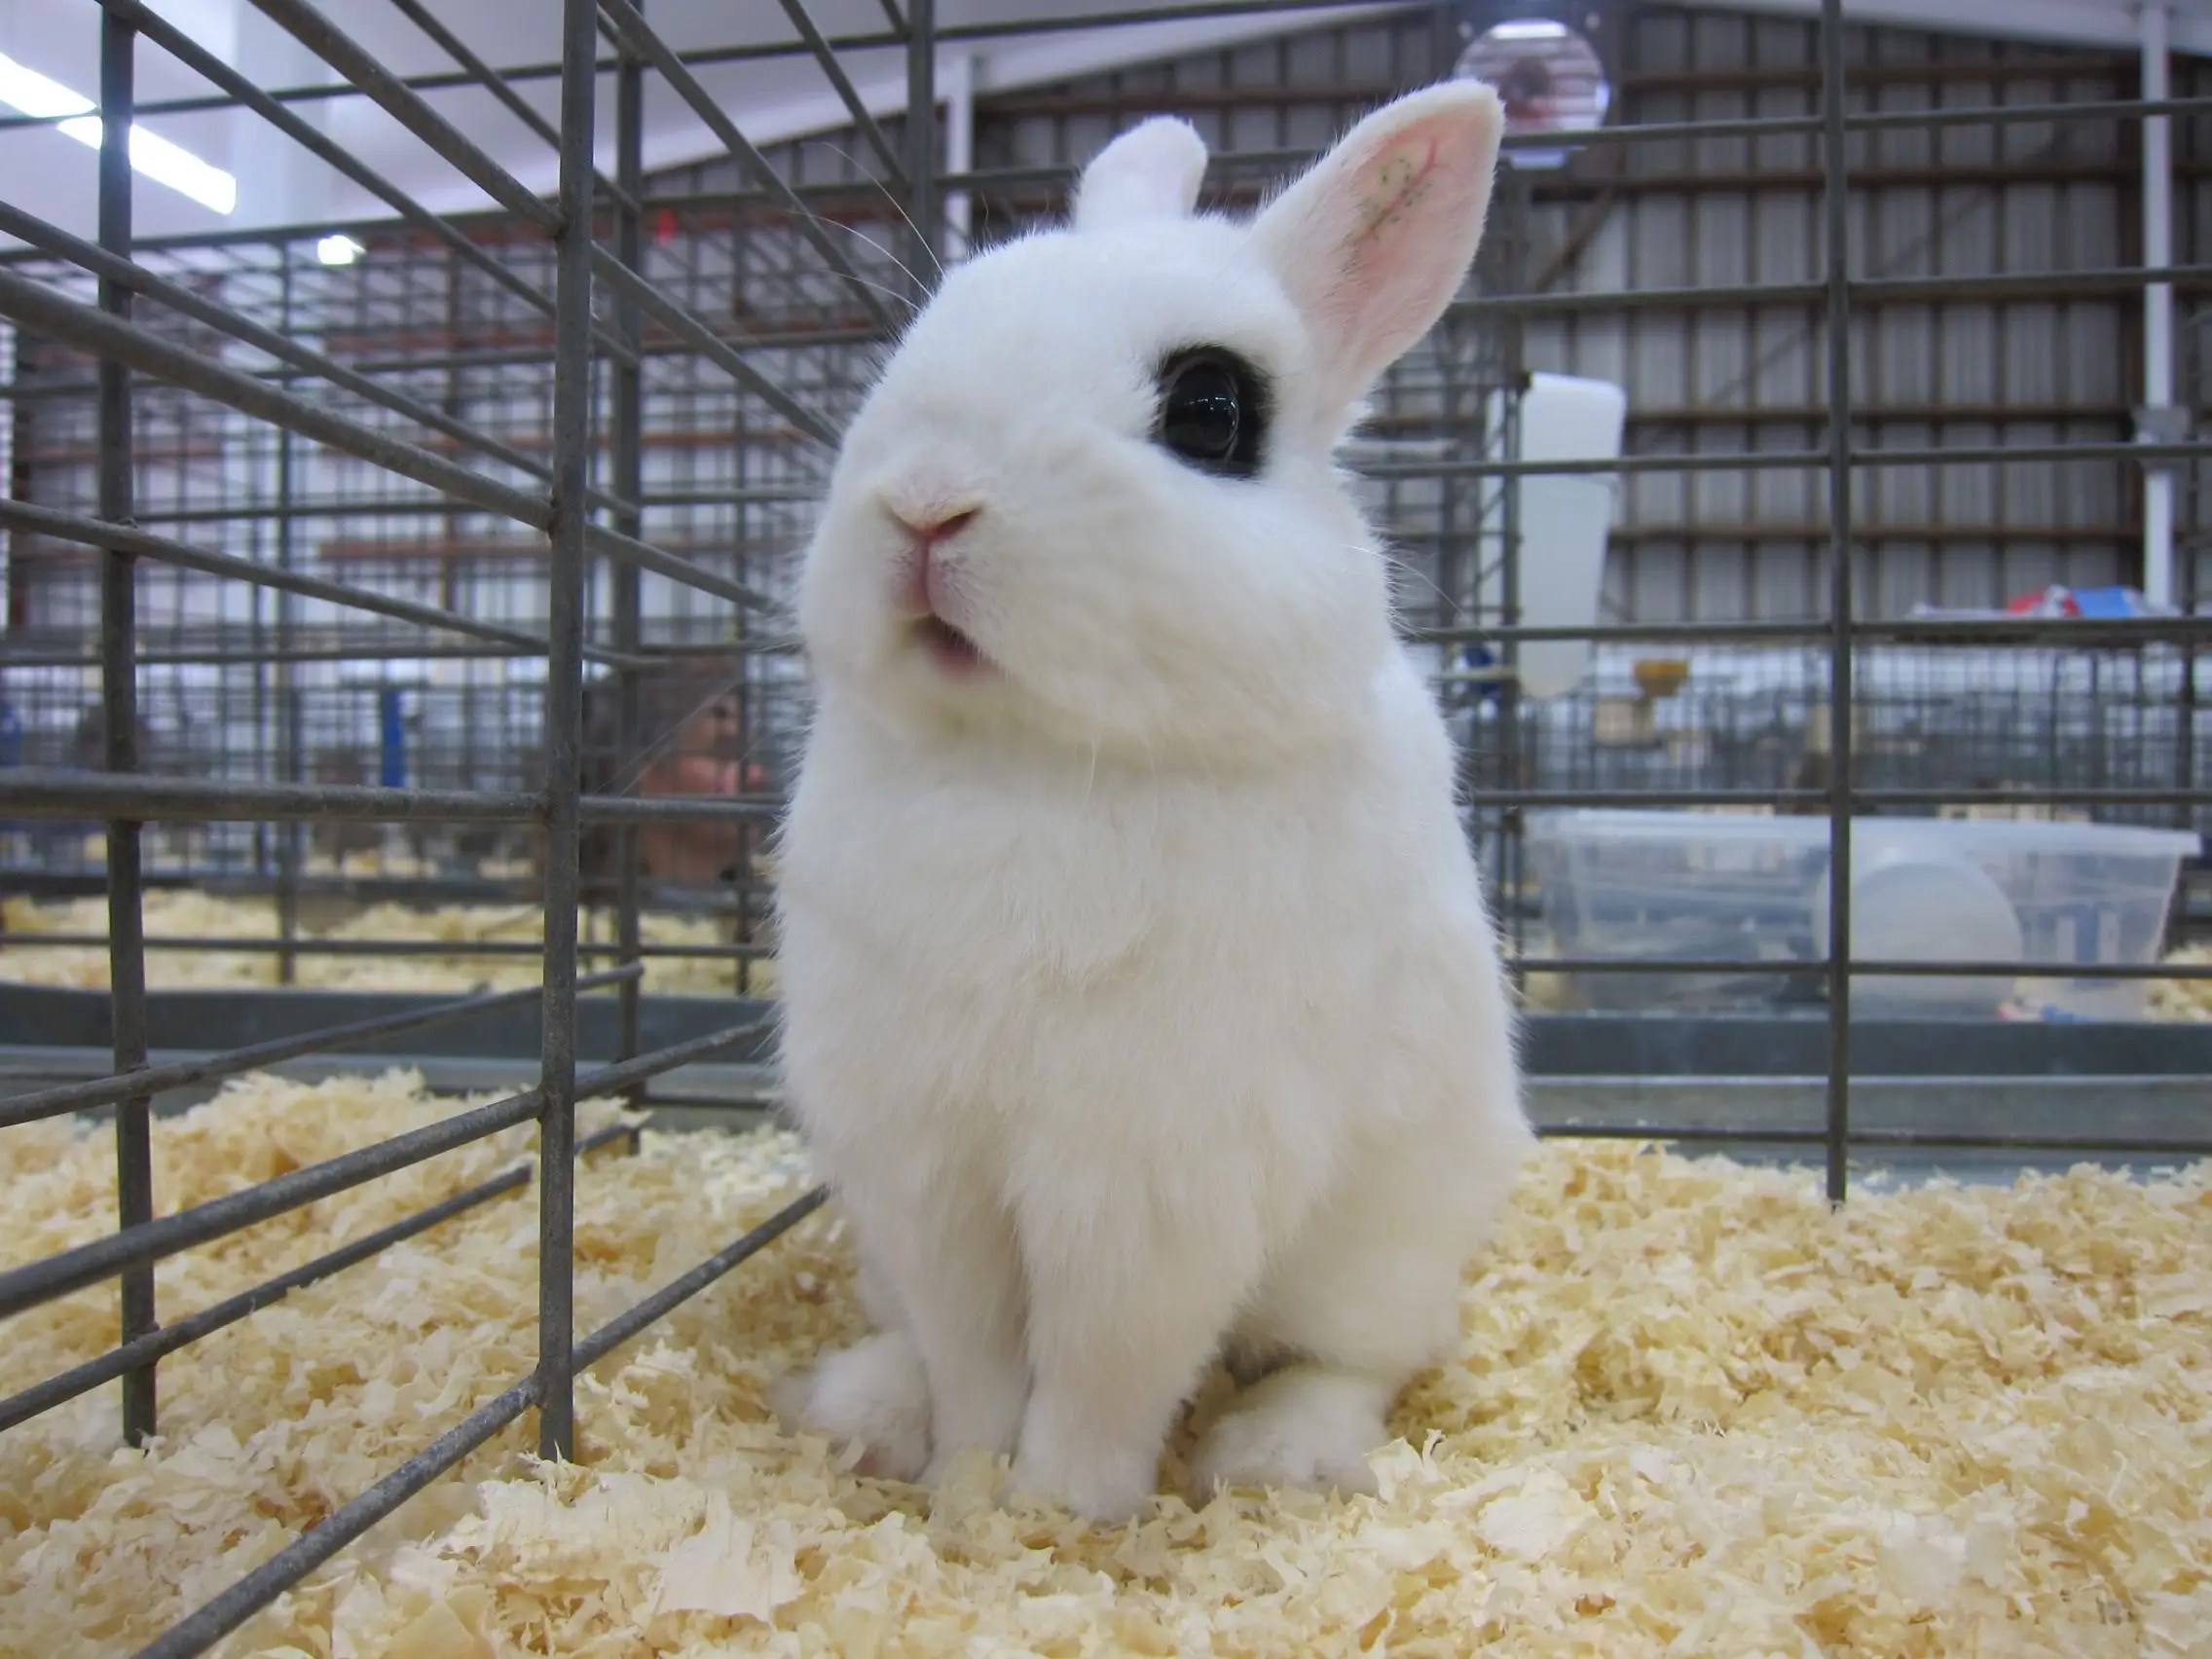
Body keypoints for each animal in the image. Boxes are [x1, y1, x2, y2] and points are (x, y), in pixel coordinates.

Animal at [769, 80, 1534, 1525]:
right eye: (930, 327)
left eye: (1211, 406)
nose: (924, 503)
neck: (1032, 760)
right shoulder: (925, 1161)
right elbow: (974, 1348)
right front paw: (967, 1485)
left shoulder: (1150, 1183)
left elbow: (1103, 1363)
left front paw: (1061, 1509)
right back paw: (866, 1411)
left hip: (1383, 1249)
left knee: (1370, 1358)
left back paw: (1275, 1452)